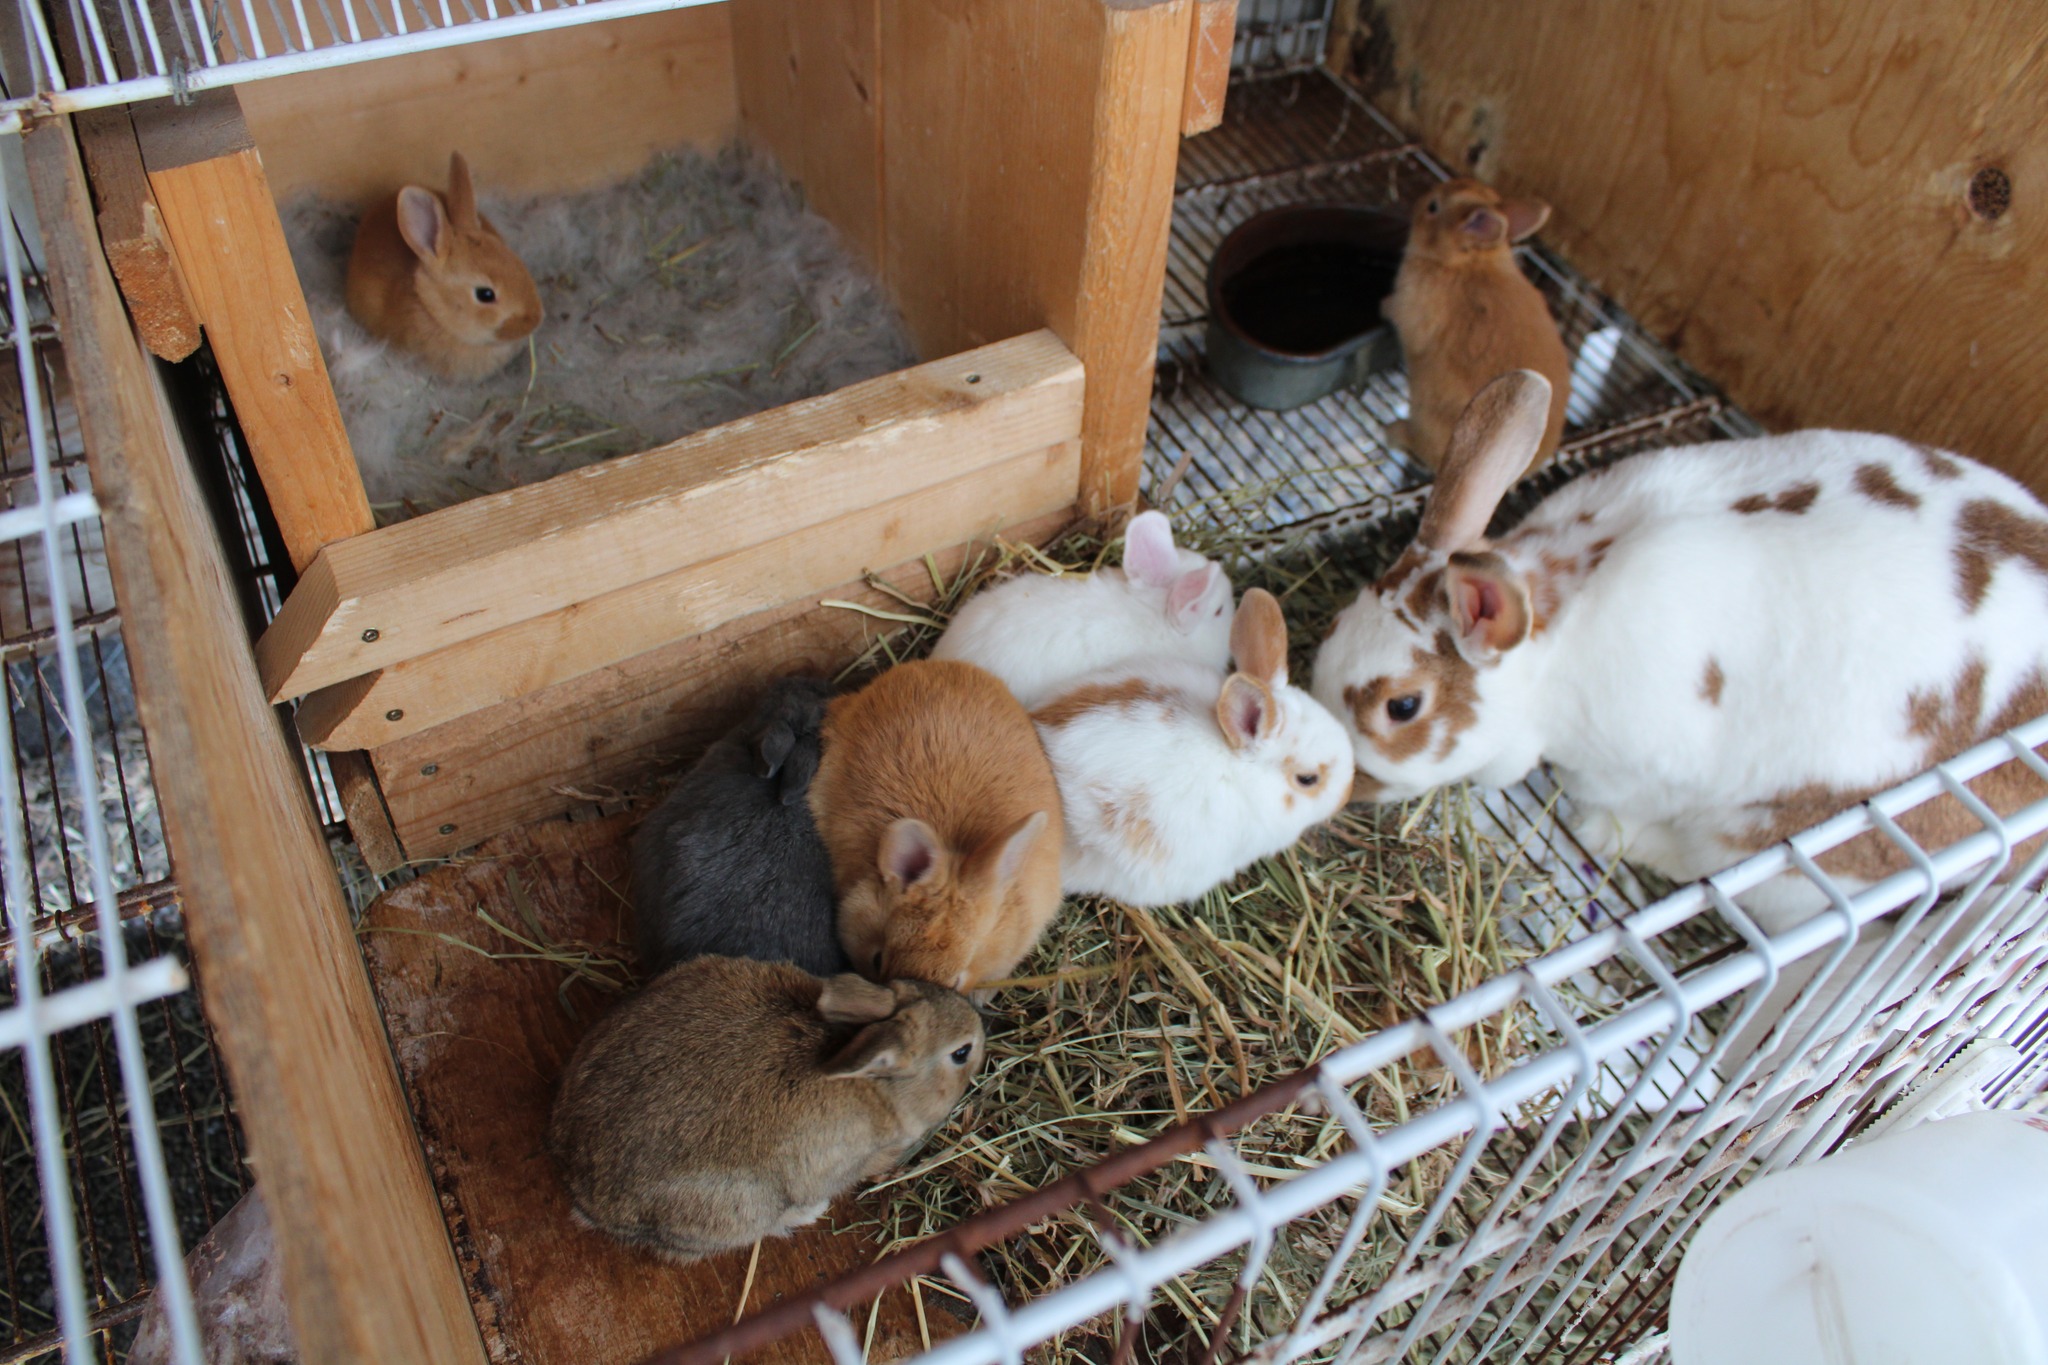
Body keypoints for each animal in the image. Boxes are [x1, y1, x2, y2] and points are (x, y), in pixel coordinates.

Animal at [1382, 178, 1572, 477]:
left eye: (1433, 207)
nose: (1418, 202)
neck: (1471, 261)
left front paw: (1383, 306)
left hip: (1428, 417)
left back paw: (1394, 432)